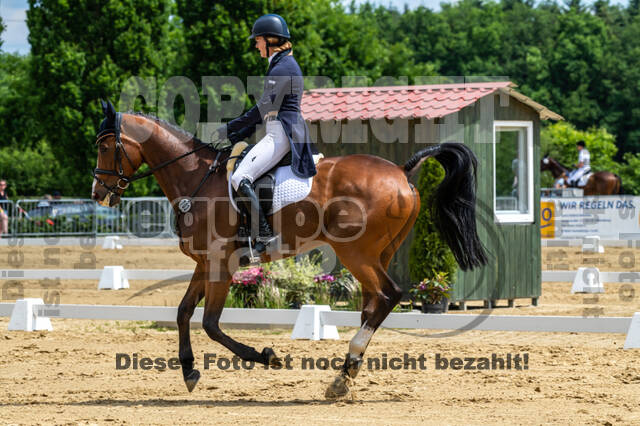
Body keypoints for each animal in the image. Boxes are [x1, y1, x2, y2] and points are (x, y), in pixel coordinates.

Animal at [91, 100, 488, 398]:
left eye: (106, 147)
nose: (99, 194)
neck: (196, 179)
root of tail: (402, 172)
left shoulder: (221, 263)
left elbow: (211, 324)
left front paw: (267, 356)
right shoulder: (205, 264)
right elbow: (184, 312)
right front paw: (189, 371)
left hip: (356, 253)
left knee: (388, 295)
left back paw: (347, 368)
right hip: (380, 252)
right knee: (373, 303)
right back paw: (345, 375)